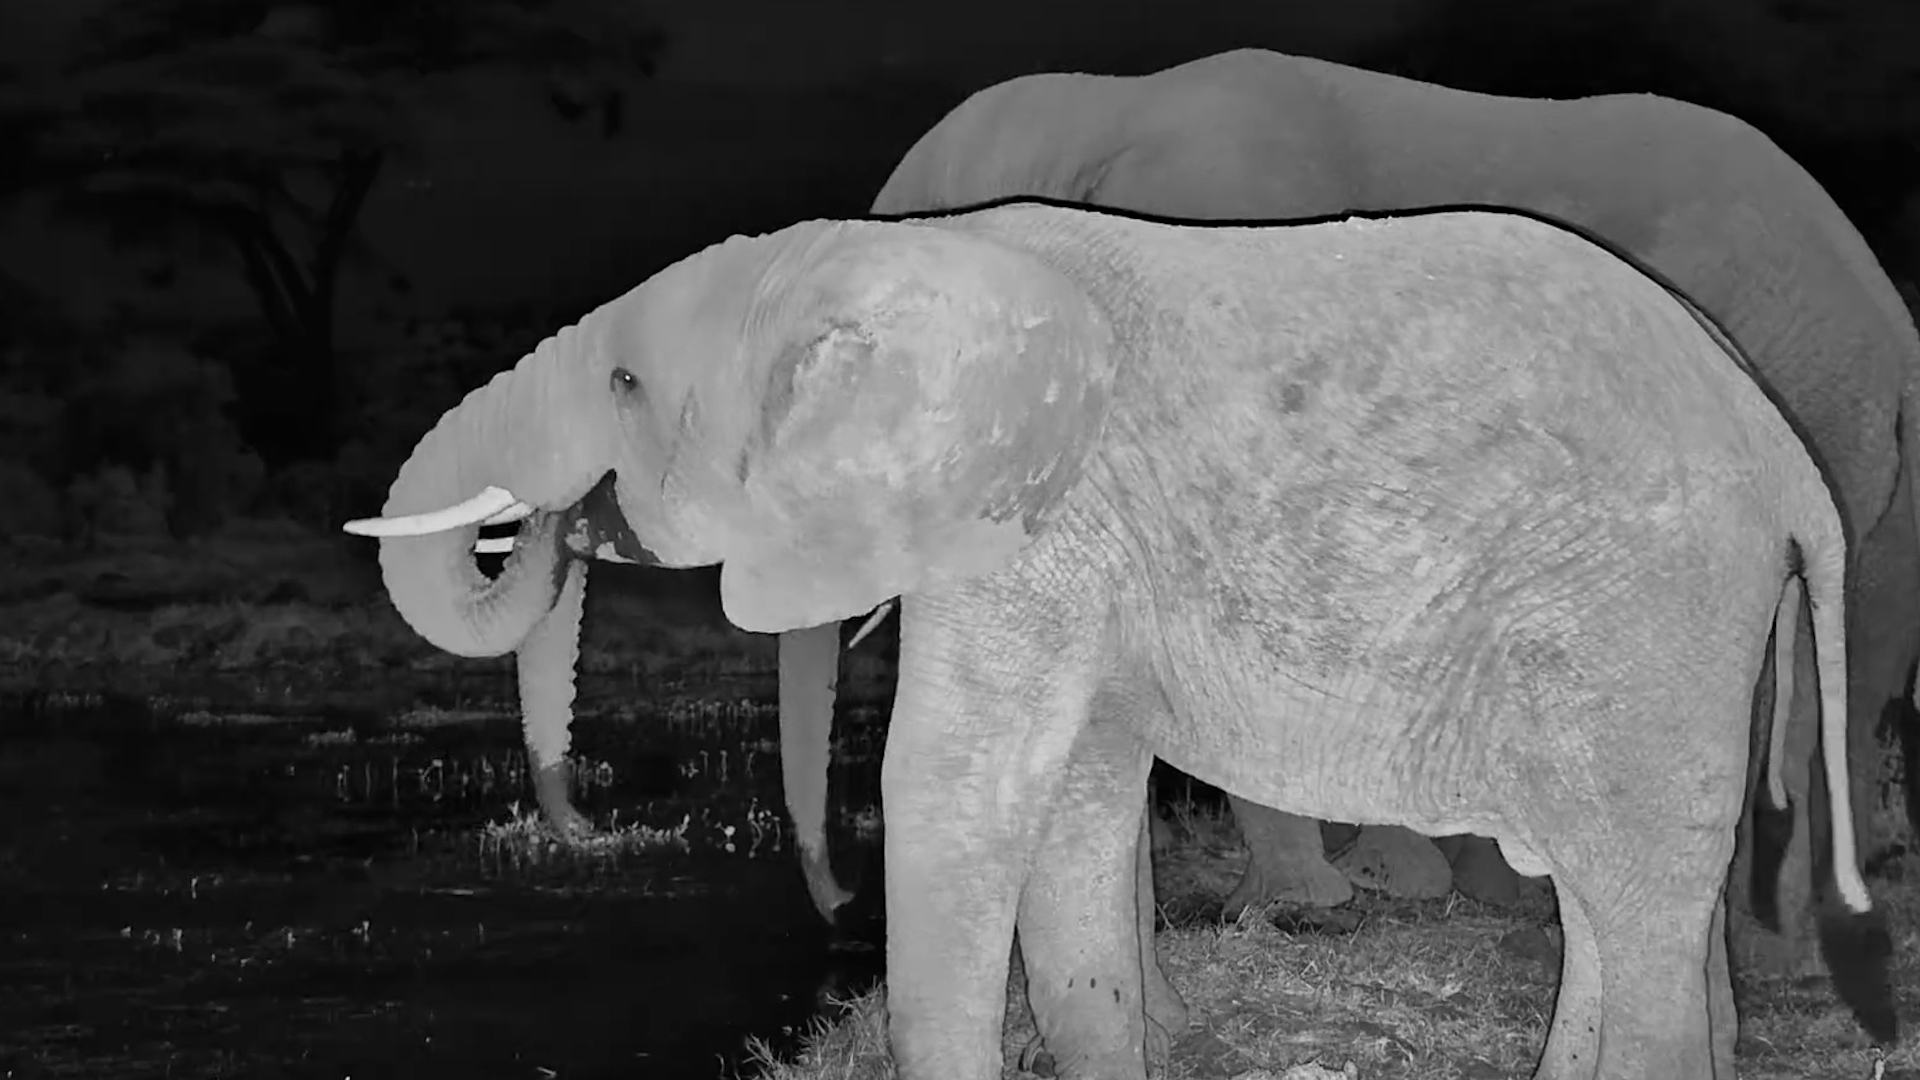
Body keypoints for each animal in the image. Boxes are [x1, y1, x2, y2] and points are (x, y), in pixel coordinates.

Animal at [347, 199, 1893, 1078]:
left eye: (619, 383)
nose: (580, 821)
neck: (856, 265)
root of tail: (1783, 452)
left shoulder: (1033, 535)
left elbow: (955, 788)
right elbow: (1078, 805)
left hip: (1644, 618)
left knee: (1629, 894)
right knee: (1618, 897)